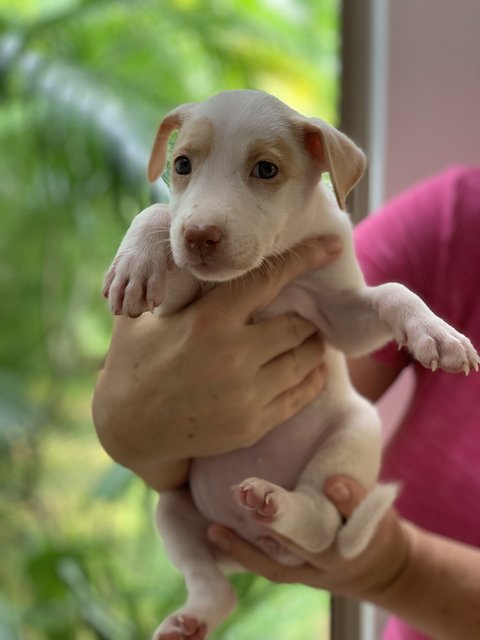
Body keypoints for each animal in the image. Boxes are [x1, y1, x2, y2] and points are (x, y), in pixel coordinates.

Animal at [103, 90, 478, 640]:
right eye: (182, 164)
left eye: (265, 169)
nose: (198, 235)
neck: (272, 261)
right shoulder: (180, 302)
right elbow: (155, 213)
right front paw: (137, 262)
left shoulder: (341, 317)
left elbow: (392, 291)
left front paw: (436, 332)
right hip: (172, 508)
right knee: (217, 587)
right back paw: (190, 619)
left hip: (353, 435)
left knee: (321, 521)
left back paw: (276, 503)